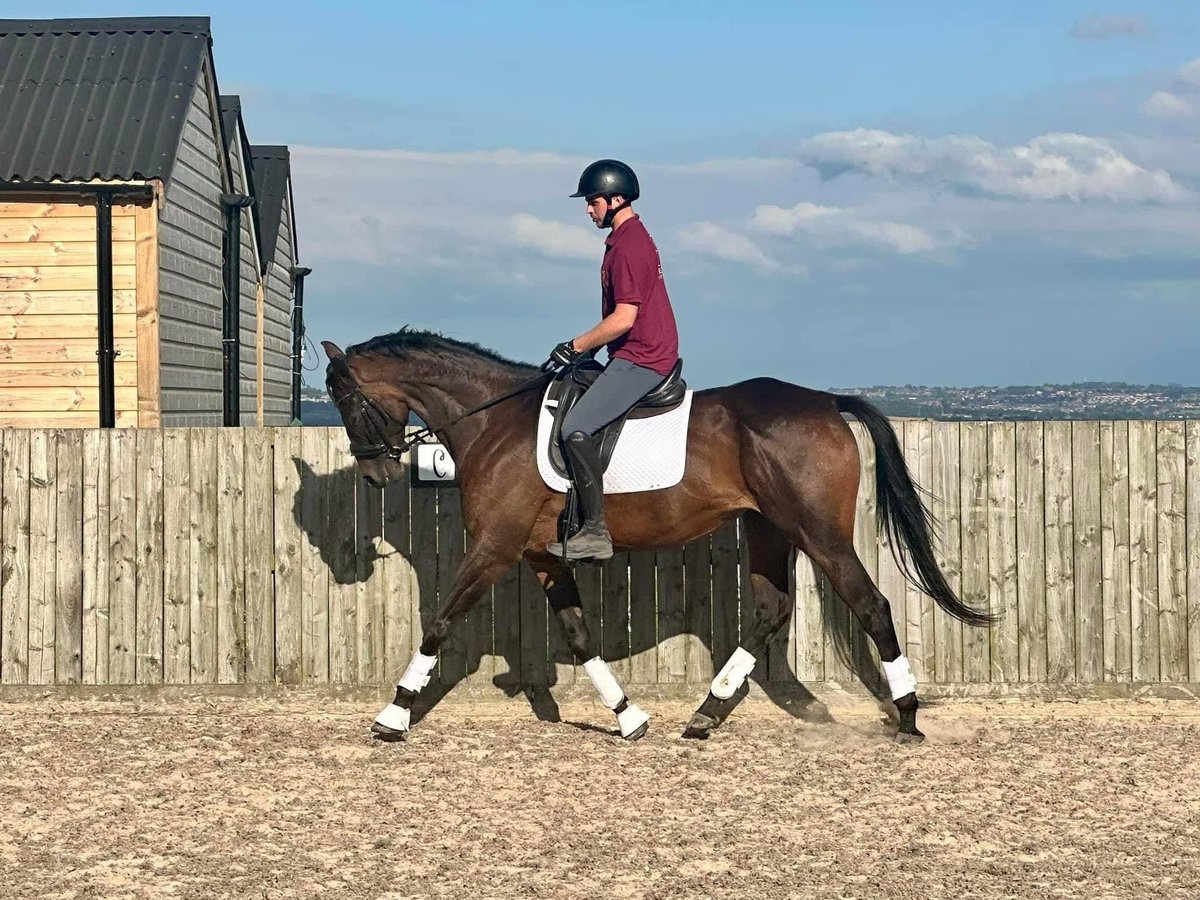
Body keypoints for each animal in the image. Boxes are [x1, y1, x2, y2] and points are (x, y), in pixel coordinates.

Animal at [319, 331, 993, 748]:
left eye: (346, 400)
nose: (376, 475)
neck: (493, 420)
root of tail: (826, 402)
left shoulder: (494, 548)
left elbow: (439, 621)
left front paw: (392, 715)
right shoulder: (540, 554)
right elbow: (579, 634)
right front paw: (629, 717)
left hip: (819, 533)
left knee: (870, 604)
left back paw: (907, 717)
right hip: (769, 529)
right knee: (771, 609)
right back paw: (706, 713)